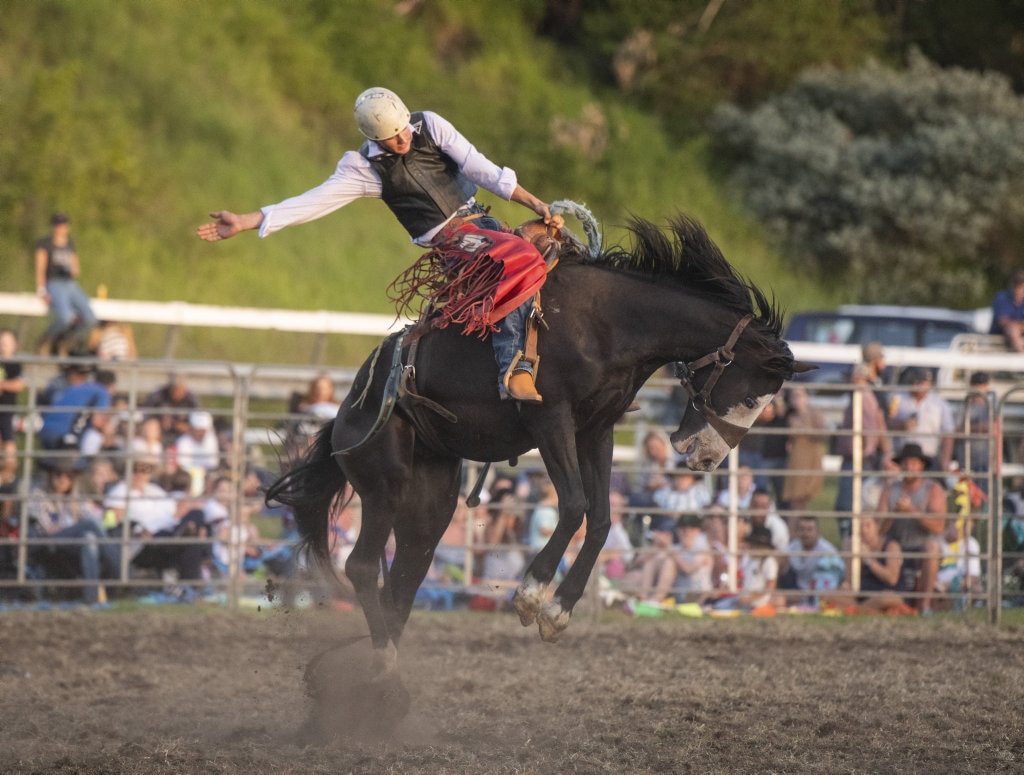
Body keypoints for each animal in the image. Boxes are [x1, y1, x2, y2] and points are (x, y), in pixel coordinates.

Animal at [268, 212, 811, 663]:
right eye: (751, 395)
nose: (706, 459)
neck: (611, 322)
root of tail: (344, 412)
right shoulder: (551, 420)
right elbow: (573, 504)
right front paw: (531, 594)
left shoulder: (596, 429)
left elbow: (602, 518)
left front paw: (558, 612)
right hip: (386, 479)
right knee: (363, 566)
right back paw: (381, 658)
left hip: (433, 496)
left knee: (406, 572)